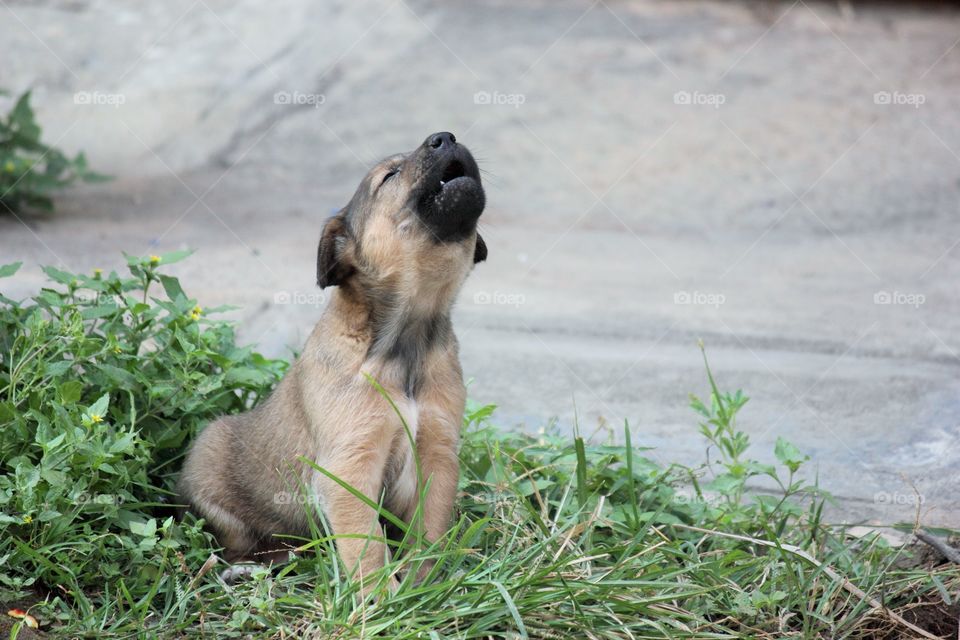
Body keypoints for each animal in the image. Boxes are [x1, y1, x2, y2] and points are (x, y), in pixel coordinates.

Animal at [178, 130, 488, 592]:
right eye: (389, 175)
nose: (445, 136)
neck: (407, 337)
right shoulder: (349, 466)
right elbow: (367, 548)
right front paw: (381, 600)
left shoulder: (437, 454)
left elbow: (428, 534)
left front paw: (423, 587)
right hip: (210, 469)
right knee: (239, 543)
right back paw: (248, 567)